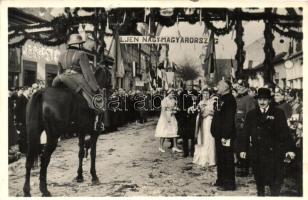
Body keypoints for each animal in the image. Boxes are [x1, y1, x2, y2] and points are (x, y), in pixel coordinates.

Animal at [23, 64, 112, 197]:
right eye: (109, 75)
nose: (111, 88)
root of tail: (41, 93)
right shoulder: (94, 133)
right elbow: (93, 153)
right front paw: (94, 176)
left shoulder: (81, 132)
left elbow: (81, 152)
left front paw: (79, 176)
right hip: (53, 136)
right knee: (44, 158)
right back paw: (44, 189)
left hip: (33, 134)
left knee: (29, 160)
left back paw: (27, 191)